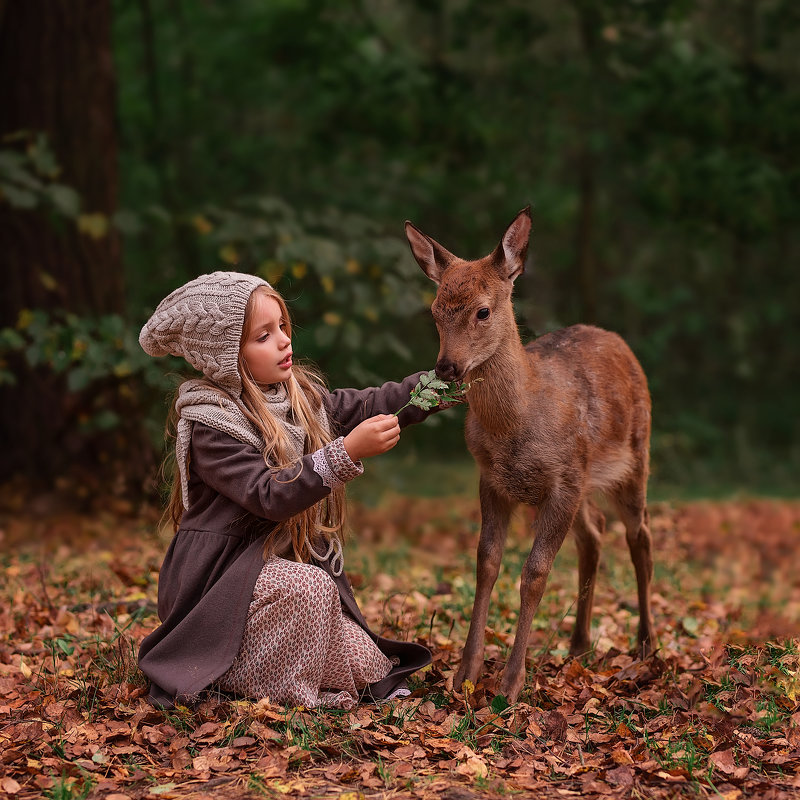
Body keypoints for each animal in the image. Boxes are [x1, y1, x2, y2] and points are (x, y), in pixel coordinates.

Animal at [406, 206, 656, 700]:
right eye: (436, 311)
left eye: (483, 310)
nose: (446, 366)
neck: (516, 422)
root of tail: (618, 342)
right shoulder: (492, 480)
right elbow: (486, 563)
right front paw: (465, 672)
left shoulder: (563, 479)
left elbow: (535, 573)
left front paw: (510, 684)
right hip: (583, 482)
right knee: (595, 534)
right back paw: (578, 644)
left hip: (632, 459)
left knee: (639, 537)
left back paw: (645, 643)